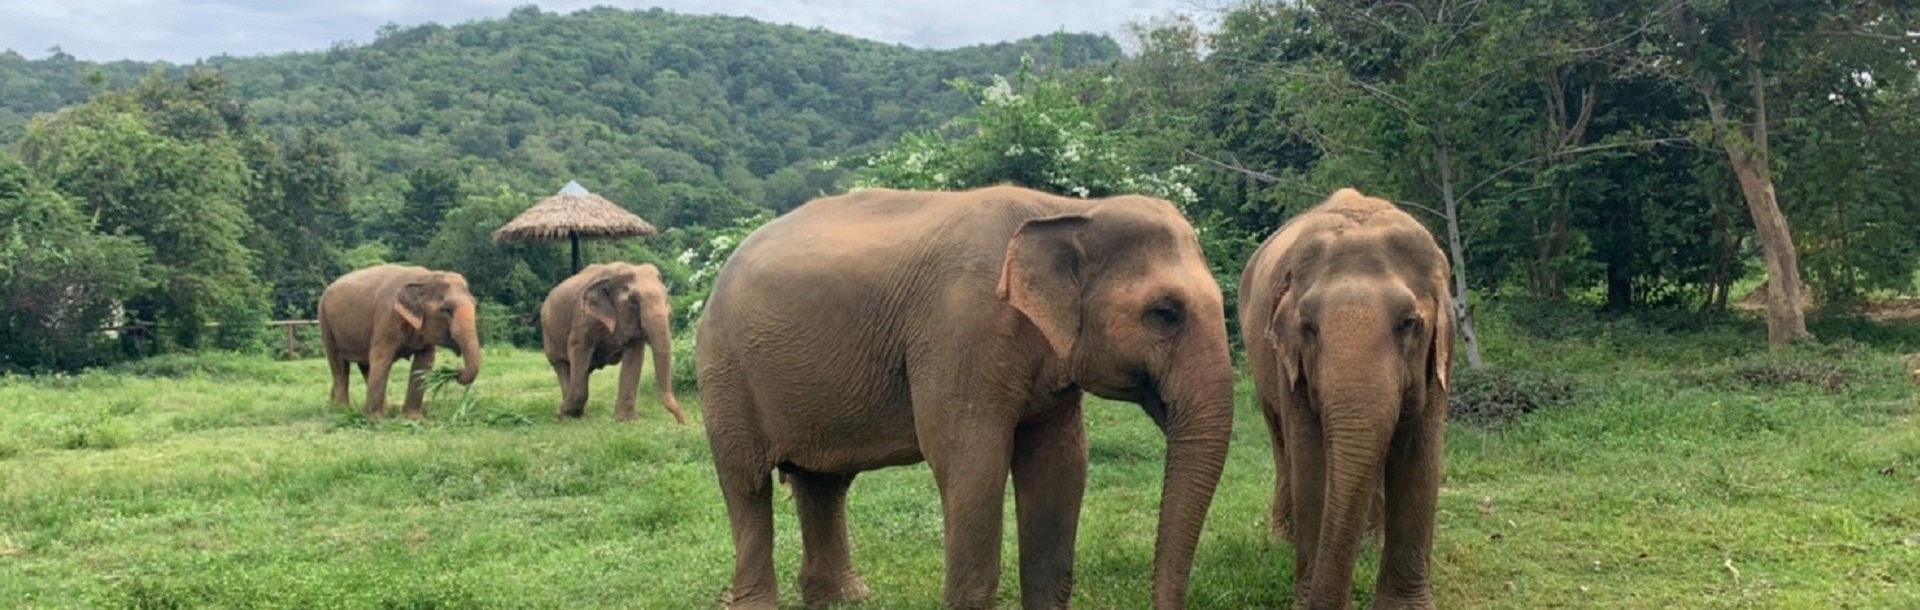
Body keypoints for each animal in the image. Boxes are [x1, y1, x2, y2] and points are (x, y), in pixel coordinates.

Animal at [314, 264, 480, 422]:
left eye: (474, 304)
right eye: (446, 309)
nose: (456, 369)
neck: (425, 278)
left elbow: (424, 362)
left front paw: (415, 419)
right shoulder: (387, 316)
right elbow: (381, 358)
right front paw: (376, 421)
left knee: (365, 366)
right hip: (325, 323)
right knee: (339, 366)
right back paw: (343, 412)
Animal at [537, 260, 687, 423]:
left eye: (666, 297)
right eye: (633, 301)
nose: (682, 422)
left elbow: (634, 354)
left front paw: (627, 420)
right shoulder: (583, 317)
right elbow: (579, 348)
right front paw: (563, 414)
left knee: (582, 370)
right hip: (549, 333)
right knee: (562, 365)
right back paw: (569, 415)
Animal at [698, 186, 1236, 610]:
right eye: (1165, 313)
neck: (1067, 210)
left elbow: (1061, 464)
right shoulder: (959, 329)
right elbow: (970, 460)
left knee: (823, 485)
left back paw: (843, 599)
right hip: (725, 371)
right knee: (746, 482)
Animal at [1236, 187, 1443, 606]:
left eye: (1409, 324)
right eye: (1308, 327)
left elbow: (1418, 457)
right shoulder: (1290, 362)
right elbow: (1310, 459)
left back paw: (1369, 543)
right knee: (1281, 444)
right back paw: (1284, 539)